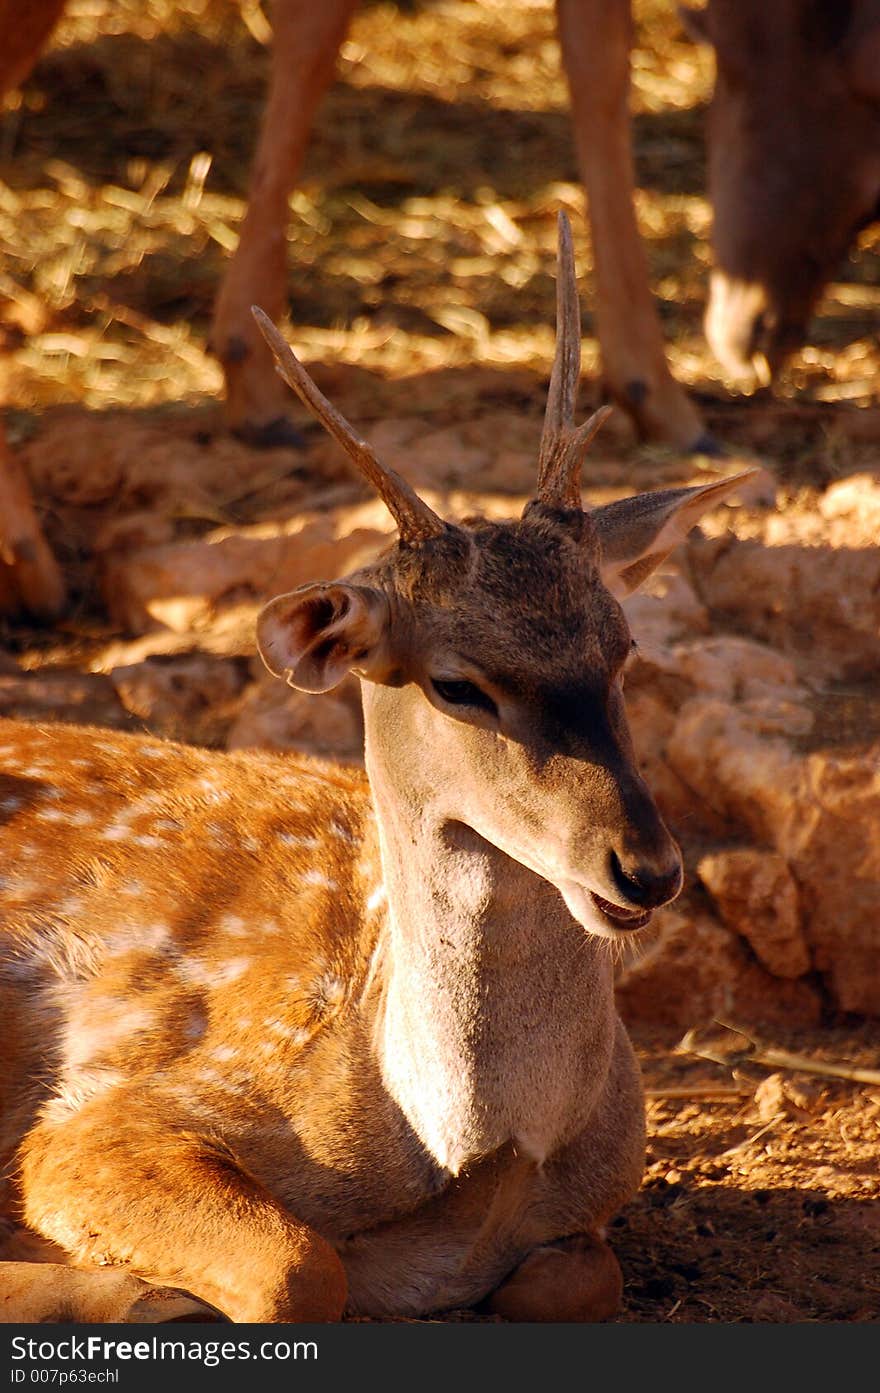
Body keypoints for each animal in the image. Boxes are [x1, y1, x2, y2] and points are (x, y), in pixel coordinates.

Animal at [0, 211, 757, 1320]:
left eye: (624, 648)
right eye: (456, 683)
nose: (647, 868)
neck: (463, 1159)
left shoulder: (593, 1207)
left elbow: (576, 1279)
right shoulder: (109, 1113)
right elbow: (298, 1266)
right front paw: (135, 1288)